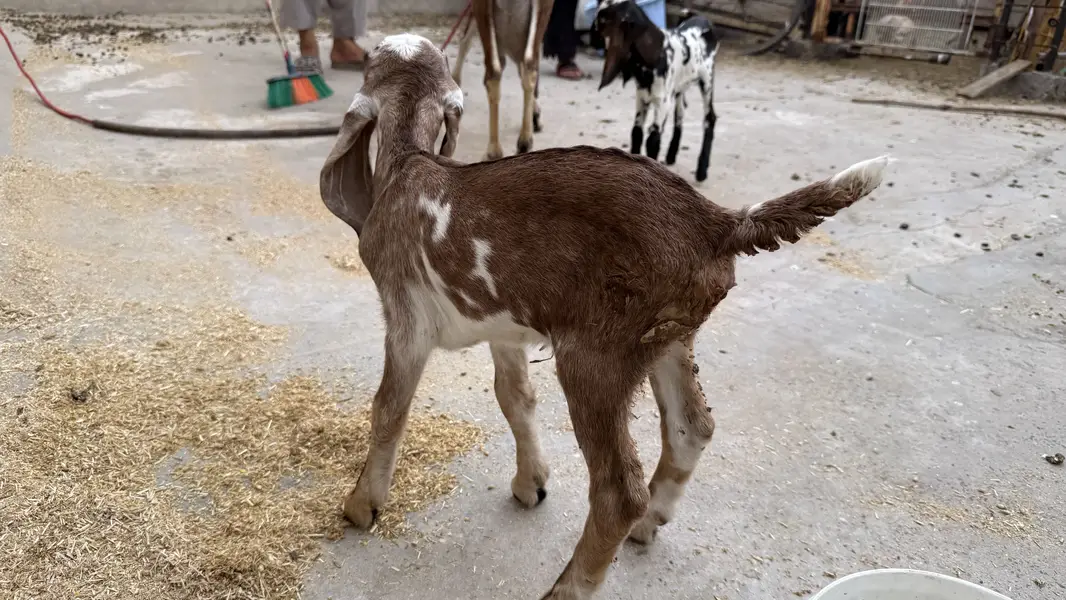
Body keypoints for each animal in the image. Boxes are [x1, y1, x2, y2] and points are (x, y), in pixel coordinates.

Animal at [320, 32, 891, 600]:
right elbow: (515, 398)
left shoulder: (405, 316)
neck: (408, 162)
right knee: (693, 426)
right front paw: (531, 484)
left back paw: (569, 586)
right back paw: (650, 522)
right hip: (667, 337)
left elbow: (389, 408)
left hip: (598, 353)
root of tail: (717, 223)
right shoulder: (505, 326)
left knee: (618, 491)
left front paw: (361, 506)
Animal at [595, 0, 720, 182]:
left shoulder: (662, 102)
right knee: (680, 114)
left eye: (603, 19)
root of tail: (704, 20)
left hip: (707, 80)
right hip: (679, 87)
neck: (658, 54)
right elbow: (637, 132)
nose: (593, 35)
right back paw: (671, 155)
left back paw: (702, 171)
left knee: (709, 118)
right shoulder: (642, 98)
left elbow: (653, 140)